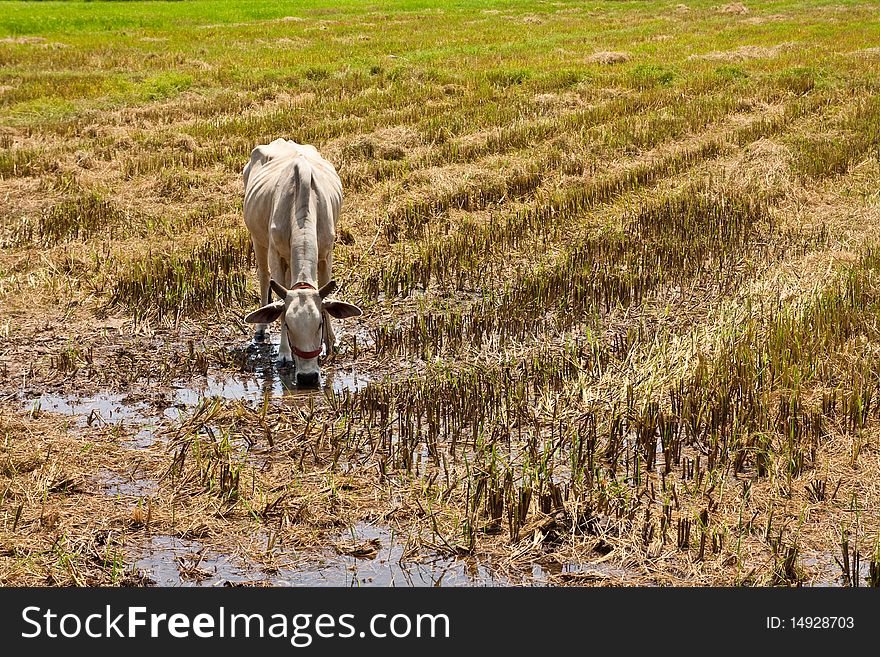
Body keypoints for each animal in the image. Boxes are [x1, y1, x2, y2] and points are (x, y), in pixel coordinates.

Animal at [242, 138, 360, 384]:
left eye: (319, 324)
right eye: (288, 325)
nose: (308, 377)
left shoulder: (326, 253)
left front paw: (331, 342)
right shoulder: (275, 254)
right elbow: (279, 300)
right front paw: (284, 353)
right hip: (257, 239)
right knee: (264, 277)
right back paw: (260, 329)